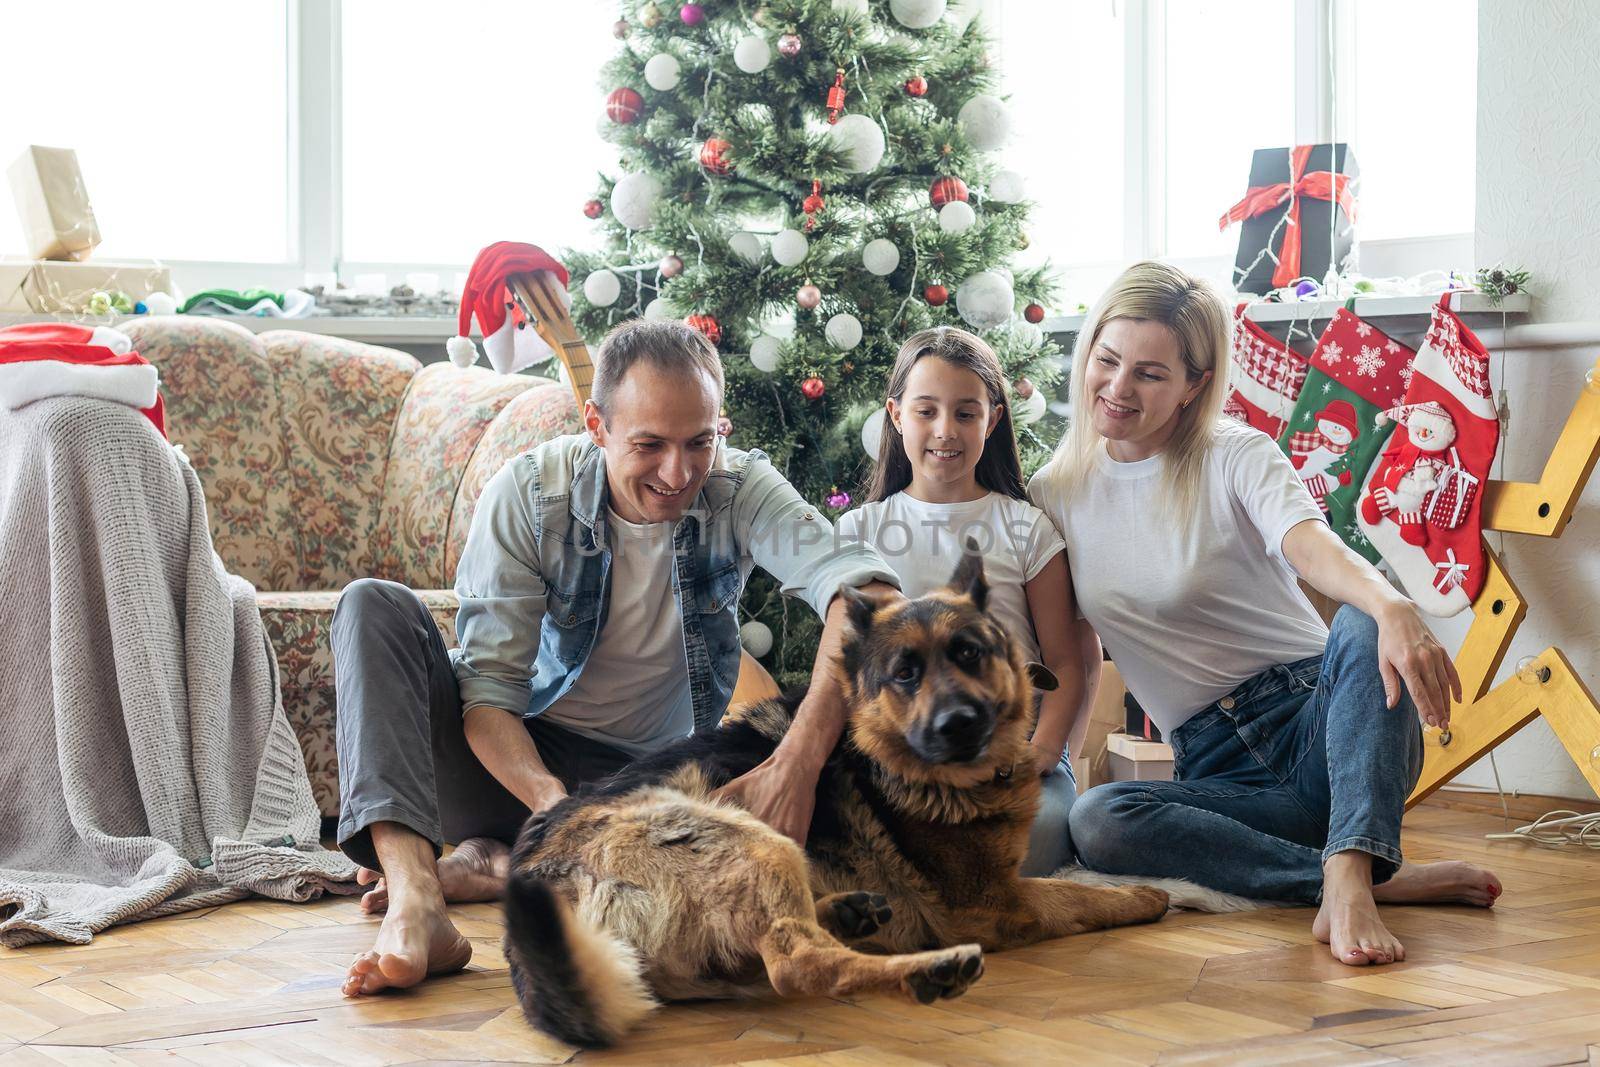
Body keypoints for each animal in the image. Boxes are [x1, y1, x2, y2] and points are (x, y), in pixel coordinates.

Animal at [505, 556, 1171, 1049]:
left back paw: (846, 915)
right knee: (796, 963)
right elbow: (1077, 895)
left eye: (969, 655)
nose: (956, 726)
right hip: (753, 838)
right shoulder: (994, 903)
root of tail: (542, 880)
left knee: (776, 945)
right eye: (904, 674)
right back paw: (924, 970)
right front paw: (1146, 894)